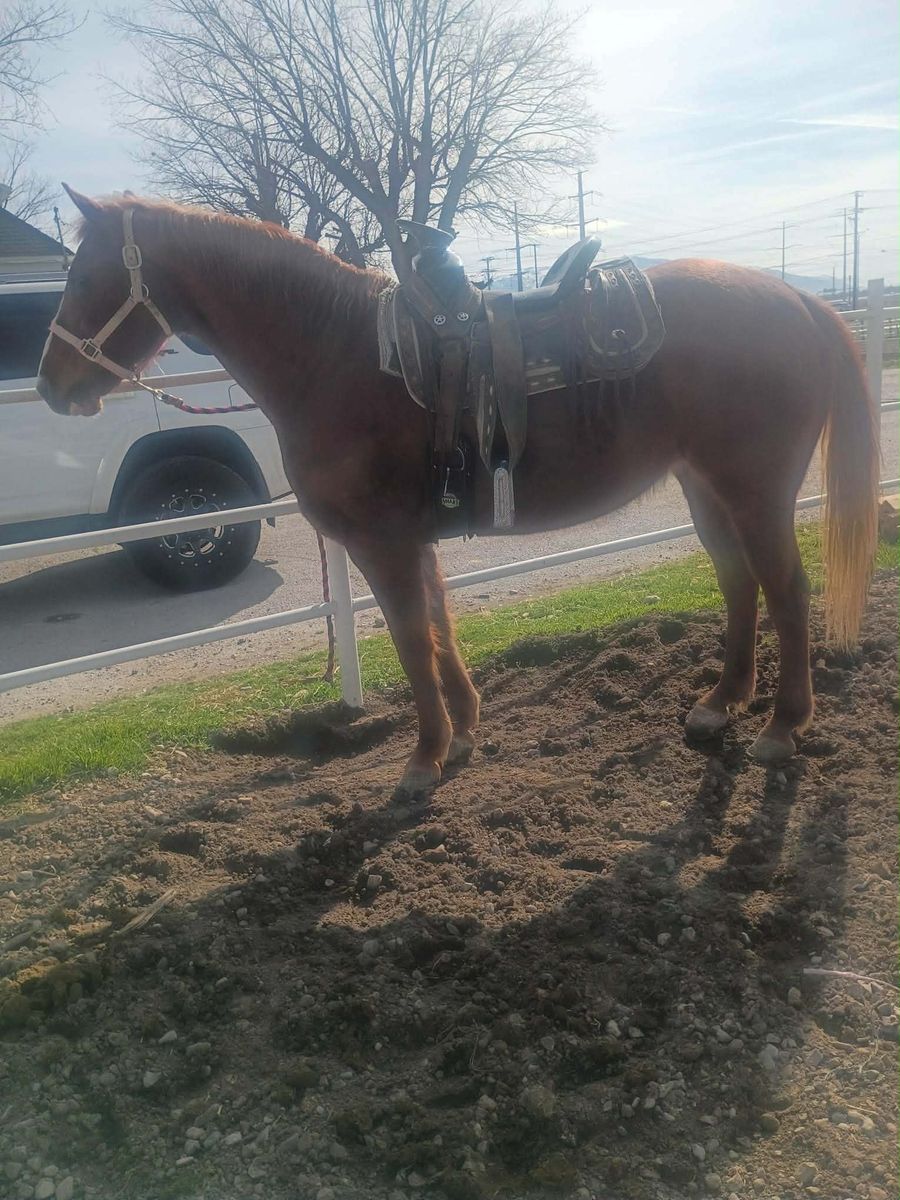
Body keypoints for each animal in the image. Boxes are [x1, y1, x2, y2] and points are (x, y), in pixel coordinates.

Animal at [36, 187, 880, 796]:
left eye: (84, 276)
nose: (51, 387)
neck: (337, 355)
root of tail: (802, 302)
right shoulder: (415, 540)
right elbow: (439, 630)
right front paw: (466, 731)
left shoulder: (381, 543)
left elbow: (411, 641)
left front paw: (424, 758)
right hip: (707, 490)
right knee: (740, 585)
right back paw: (719, 705)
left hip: (755, 492)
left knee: (787, 589)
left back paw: (783, 726)